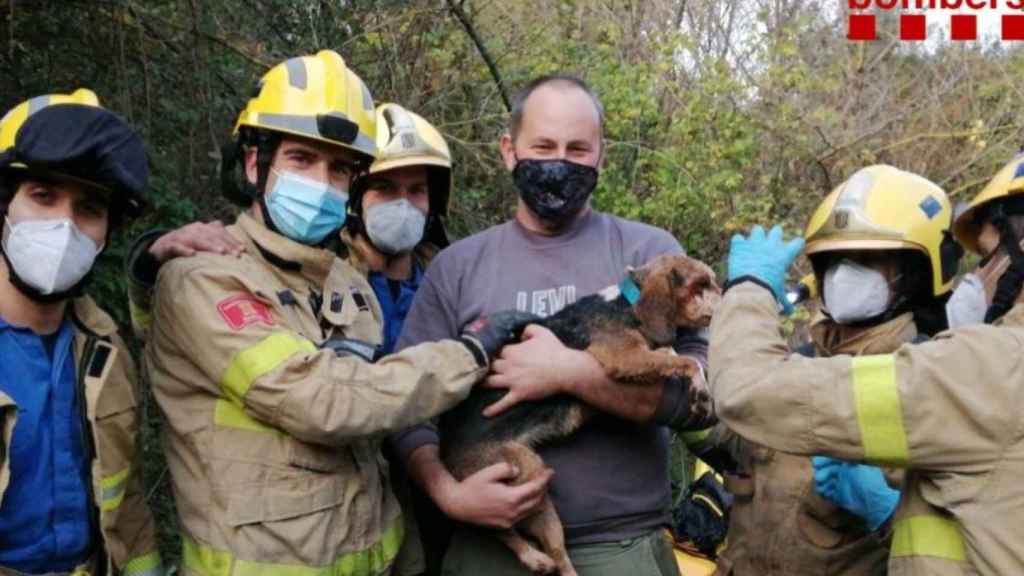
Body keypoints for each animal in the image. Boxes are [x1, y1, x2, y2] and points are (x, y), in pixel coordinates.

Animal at [440, 253, 720, 569]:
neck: (626, 303)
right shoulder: (624, 357)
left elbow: (672, 354)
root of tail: (446, 454)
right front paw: (701, 392)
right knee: (521, 536)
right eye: (702, 284)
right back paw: (535, 555)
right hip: (526, 475)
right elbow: (687, 361)